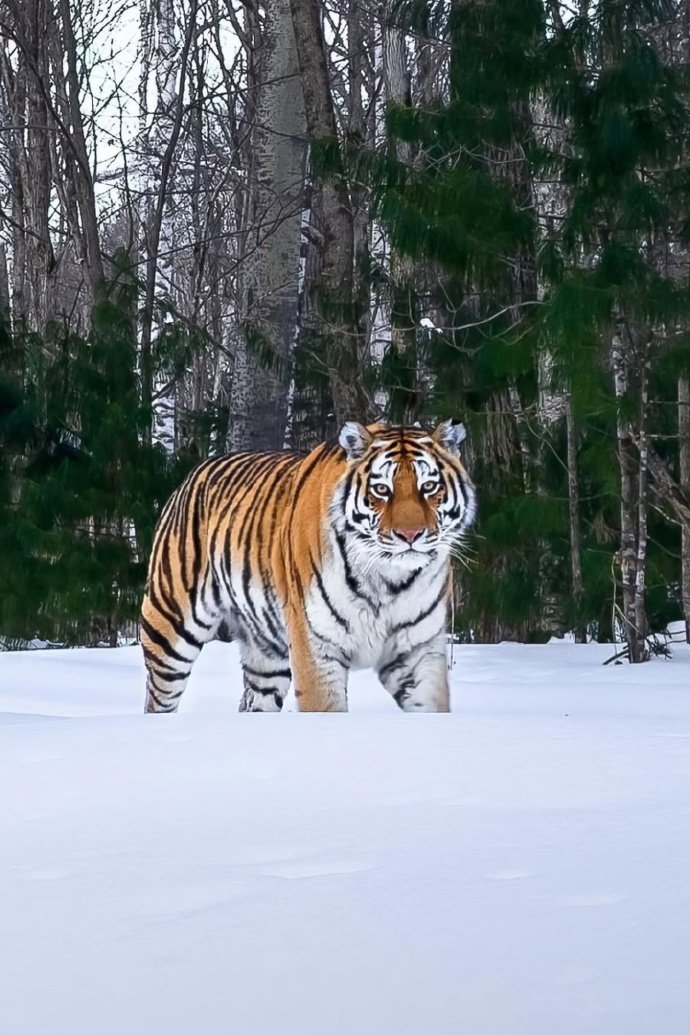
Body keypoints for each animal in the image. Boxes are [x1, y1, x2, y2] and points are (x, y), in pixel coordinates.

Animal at [140, 419, 476, 714]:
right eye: (381, 489)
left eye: (429, 486)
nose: (410, 535)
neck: (388, 579)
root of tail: (194, 472)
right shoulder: (315, 648)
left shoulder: (418, 651)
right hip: (168, 629)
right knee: (158, 701)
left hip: (266, 656)